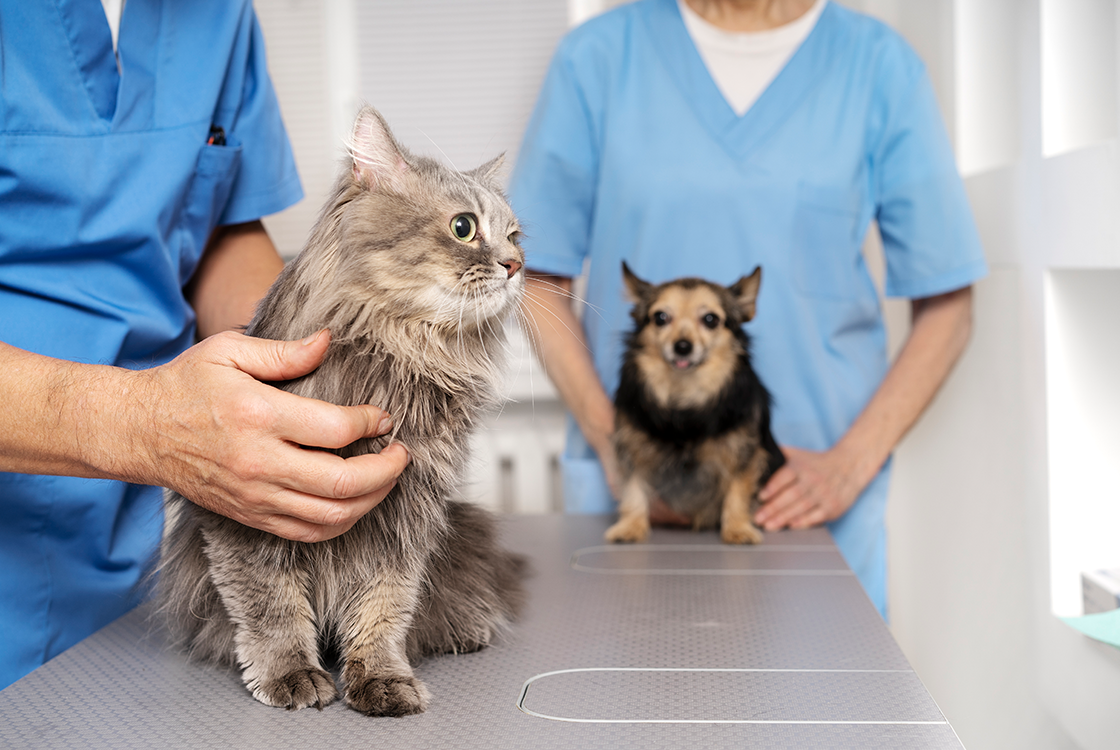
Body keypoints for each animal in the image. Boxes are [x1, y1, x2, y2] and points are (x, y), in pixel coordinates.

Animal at [155, 104, 530, 716]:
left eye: (516, 236)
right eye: (463, 227)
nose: (515, 264)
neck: (401, 354)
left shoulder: (404, 520)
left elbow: (383, 611)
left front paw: (380, 678)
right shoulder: (245, 516)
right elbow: (271, 607)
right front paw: (292, 674)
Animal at [609, 264, 784, 546]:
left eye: (710, 319)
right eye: (660, 318)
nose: (682, 347)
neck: (685, 396)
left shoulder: (744, 453)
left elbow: (737, 490)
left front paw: (738, 528)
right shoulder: (631, 447)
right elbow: (633, 488)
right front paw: (630, 526)